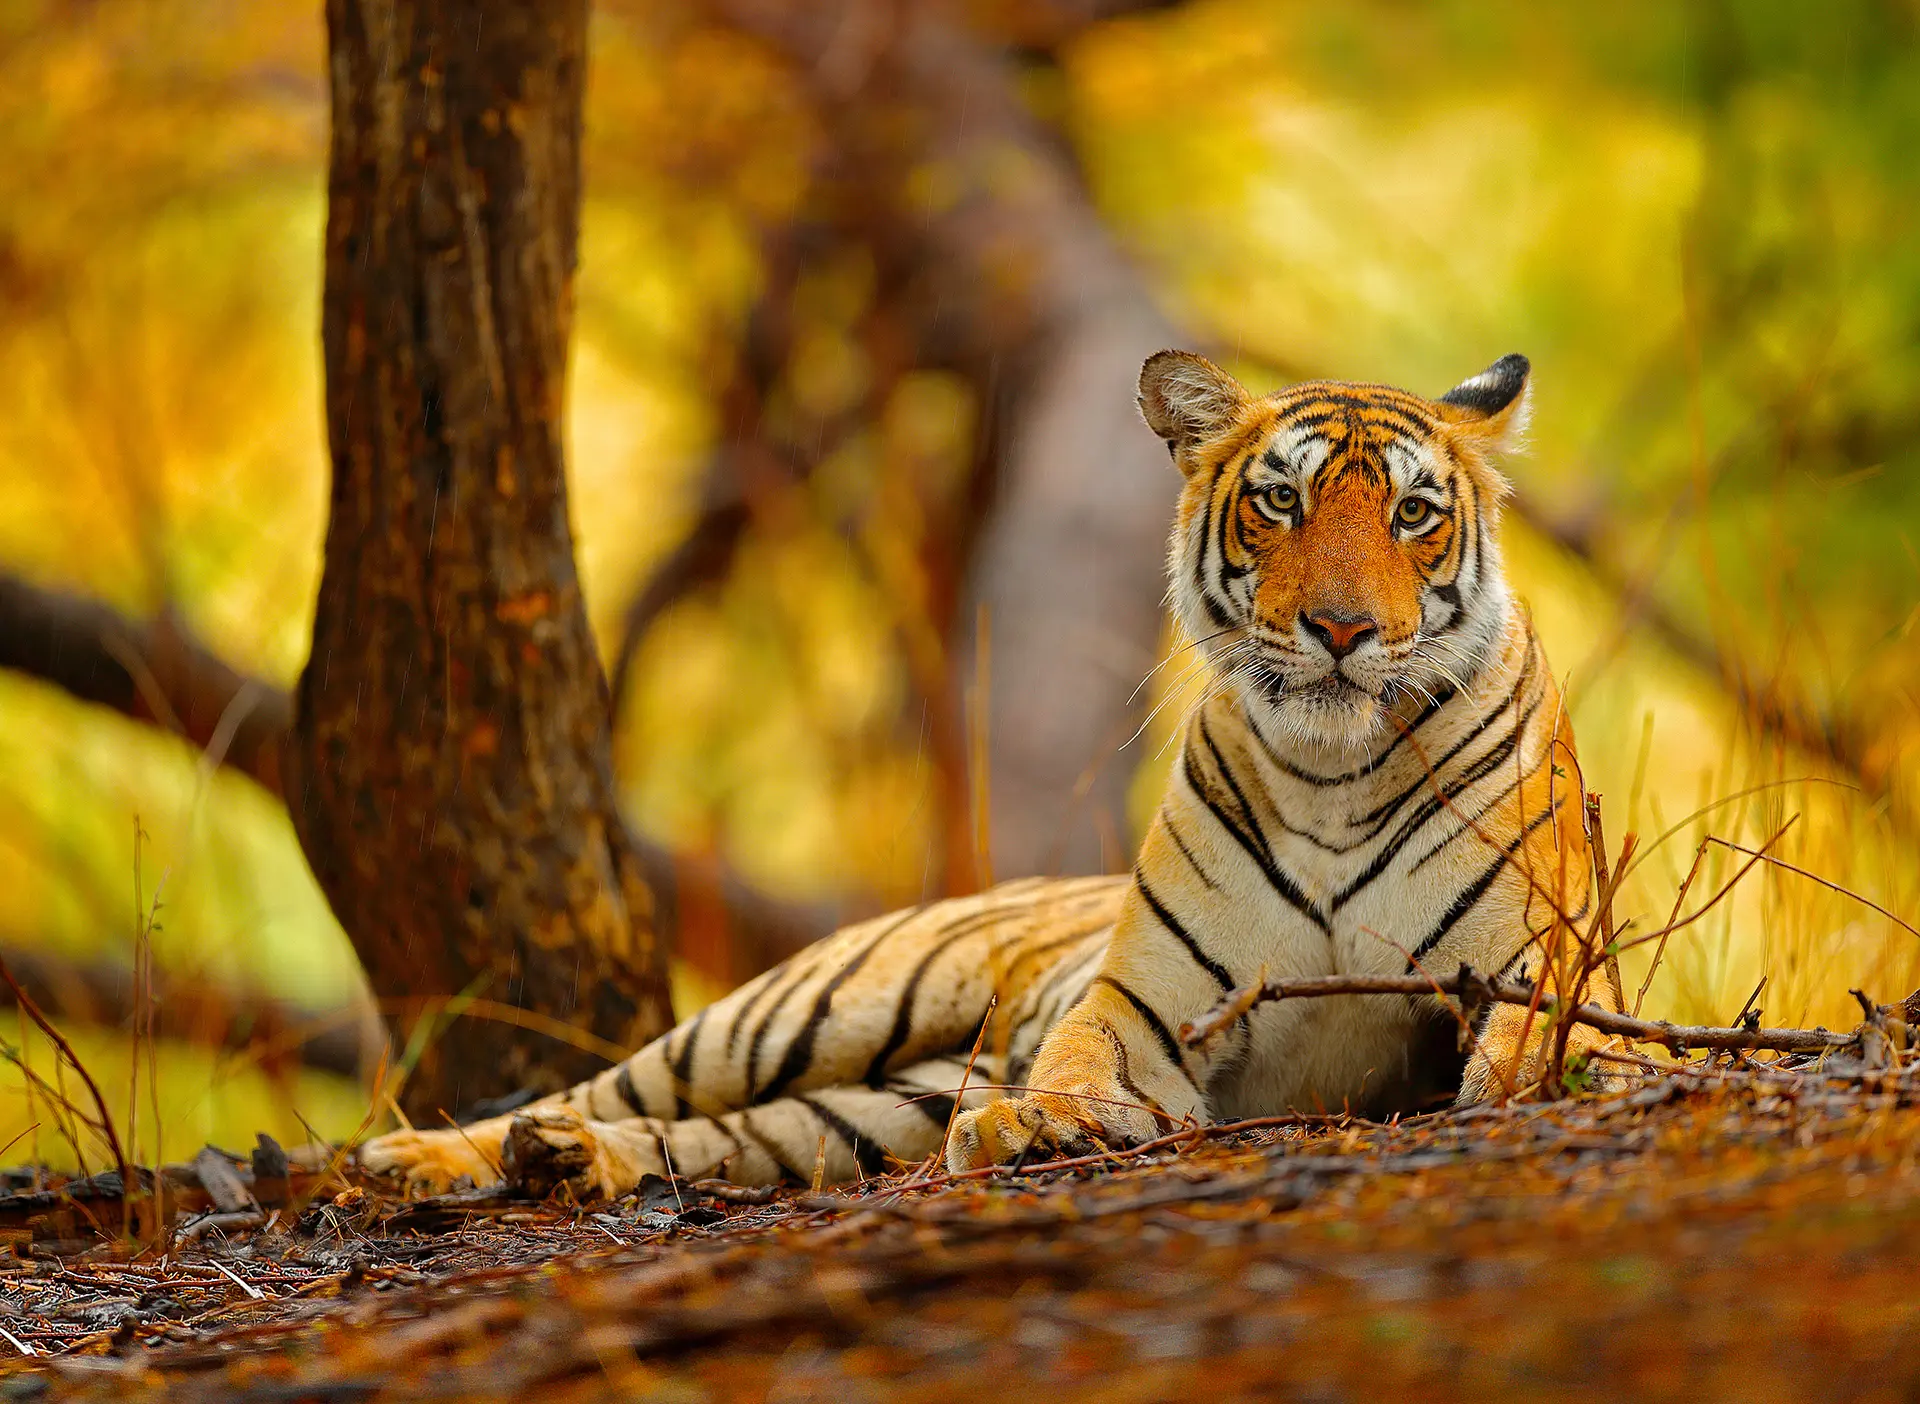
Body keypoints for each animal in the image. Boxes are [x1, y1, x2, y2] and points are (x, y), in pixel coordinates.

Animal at [358, 350, 1625, 1199]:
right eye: (1282, 500)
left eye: (1413, 513)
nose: (1344, 629)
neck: (1334, 772)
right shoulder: (1148, 1000)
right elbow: (1081, 1059)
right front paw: (1041, 1123)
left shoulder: (1538, 963)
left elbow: (1551, 1035)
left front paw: (1565, 1077)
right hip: (795, 1012)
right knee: (611, 1088)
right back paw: (417, 1157)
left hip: (873, 1106)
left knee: (733, 1139)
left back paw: (564, 1165)